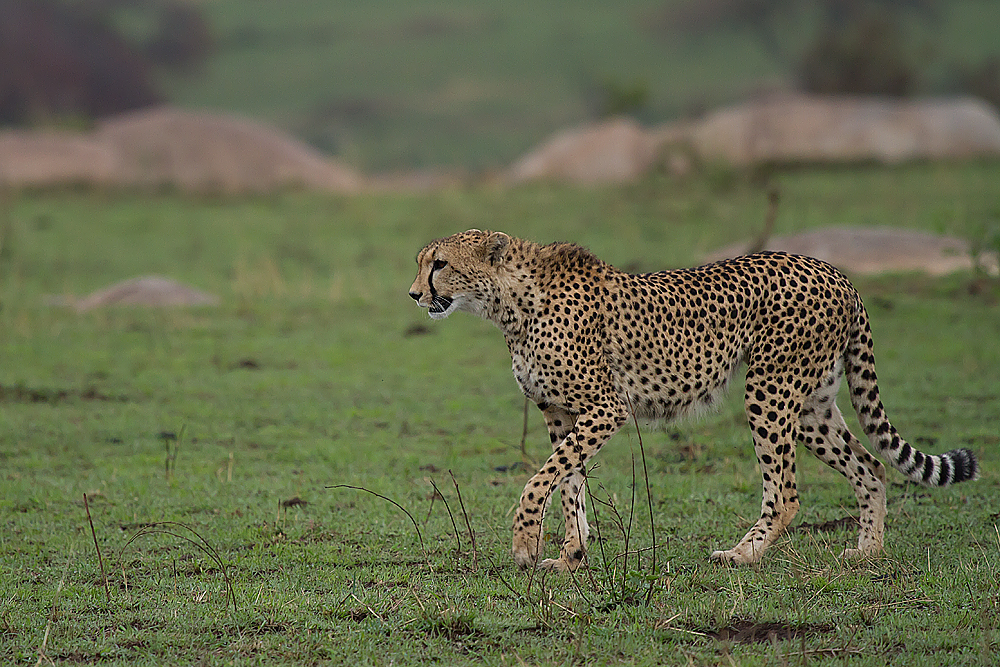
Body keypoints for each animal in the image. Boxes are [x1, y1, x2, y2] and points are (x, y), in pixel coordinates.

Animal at [408, 229, 979, 571]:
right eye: (422, 263)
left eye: (439, 264)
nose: (414, 294)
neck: (510, 303)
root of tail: (835, 271)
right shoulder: (561, 414)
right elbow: (568, 484)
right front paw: (571, 556)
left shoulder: (604, 408)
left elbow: (540, 479)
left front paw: (526, 543)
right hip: (812, 404)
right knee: (871, 466)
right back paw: (867, 551)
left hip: (769, 389)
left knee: (786, 491)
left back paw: (744, 555)